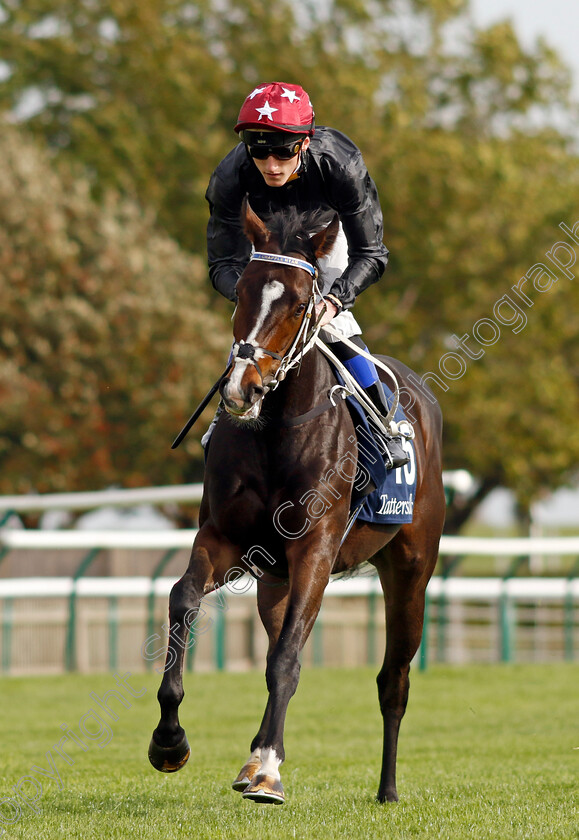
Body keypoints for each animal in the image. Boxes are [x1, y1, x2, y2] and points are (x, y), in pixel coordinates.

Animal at [147, 200, 446, 804]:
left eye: (301, 302)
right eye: (241, 291)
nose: (241, 388)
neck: (276, 431)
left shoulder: (315, 549)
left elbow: (288, 660)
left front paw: (266, 769)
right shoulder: (226, 541)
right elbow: (183, 600)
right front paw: (169, 740)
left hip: (411, 569)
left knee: (393, 680)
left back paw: (387, 788)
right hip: (273, 581)